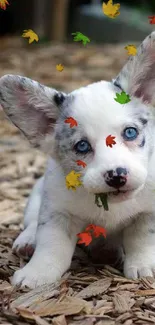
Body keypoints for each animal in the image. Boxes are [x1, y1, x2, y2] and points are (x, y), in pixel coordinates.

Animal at [0, 31, 155, 288]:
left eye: (130, 132)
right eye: (82, 146)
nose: (116, 176)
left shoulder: (148, 213)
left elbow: (142, 239)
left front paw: (145, 267)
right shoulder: (57, 213)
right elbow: (51, 246)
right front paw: (36, 274)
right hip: (35, 198)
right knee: (32, 224)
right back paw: (27, 241)